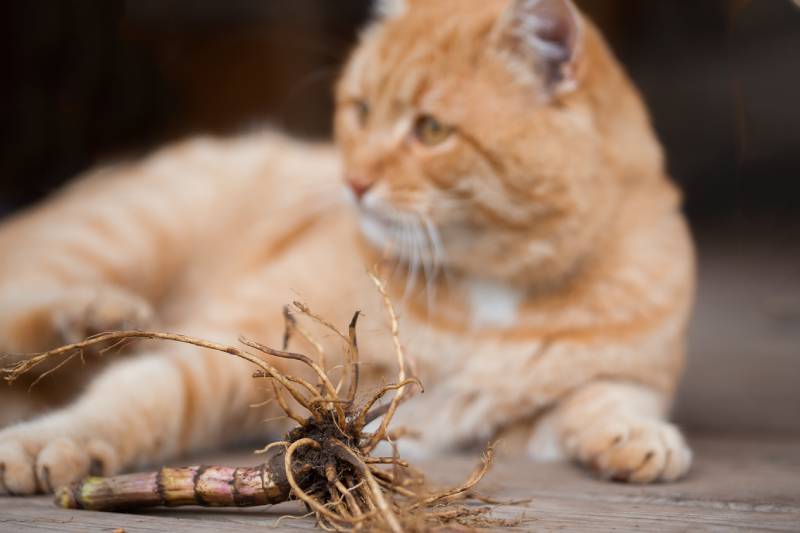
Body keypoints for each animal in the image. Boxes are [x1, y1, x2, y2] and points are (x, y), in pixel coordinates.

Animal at [0, 0, 692, 494]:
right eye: (360, 111)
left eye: (431, 130)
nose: (354, 182)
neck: (494, 287)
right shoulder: (233, 351)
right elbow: (137, 398)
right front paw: (52, 444)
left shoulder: (580, 395)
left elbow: (606, 395)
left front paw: (634, 436)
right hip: (130, 231)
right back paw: (95, 317)